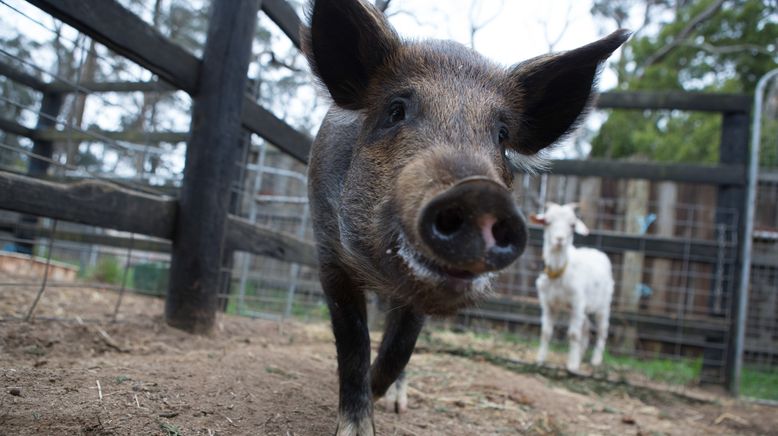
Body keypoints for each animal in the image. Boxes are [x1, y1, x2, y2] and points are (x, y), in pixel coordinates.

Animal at [528, 204, 612, 372]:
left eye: (572, 225)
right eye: (547, 222)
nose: (560, 239)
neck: (559, 272)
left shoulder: (577, 303)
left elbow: (573, 334)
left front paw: (572, 366)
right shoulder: (548, 303)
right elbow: (545, 332)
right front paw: (540, 360)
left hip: (603, 305)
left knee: (602, 330)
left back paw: (595, 360)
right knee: (586, 328)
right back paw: (580, 355)